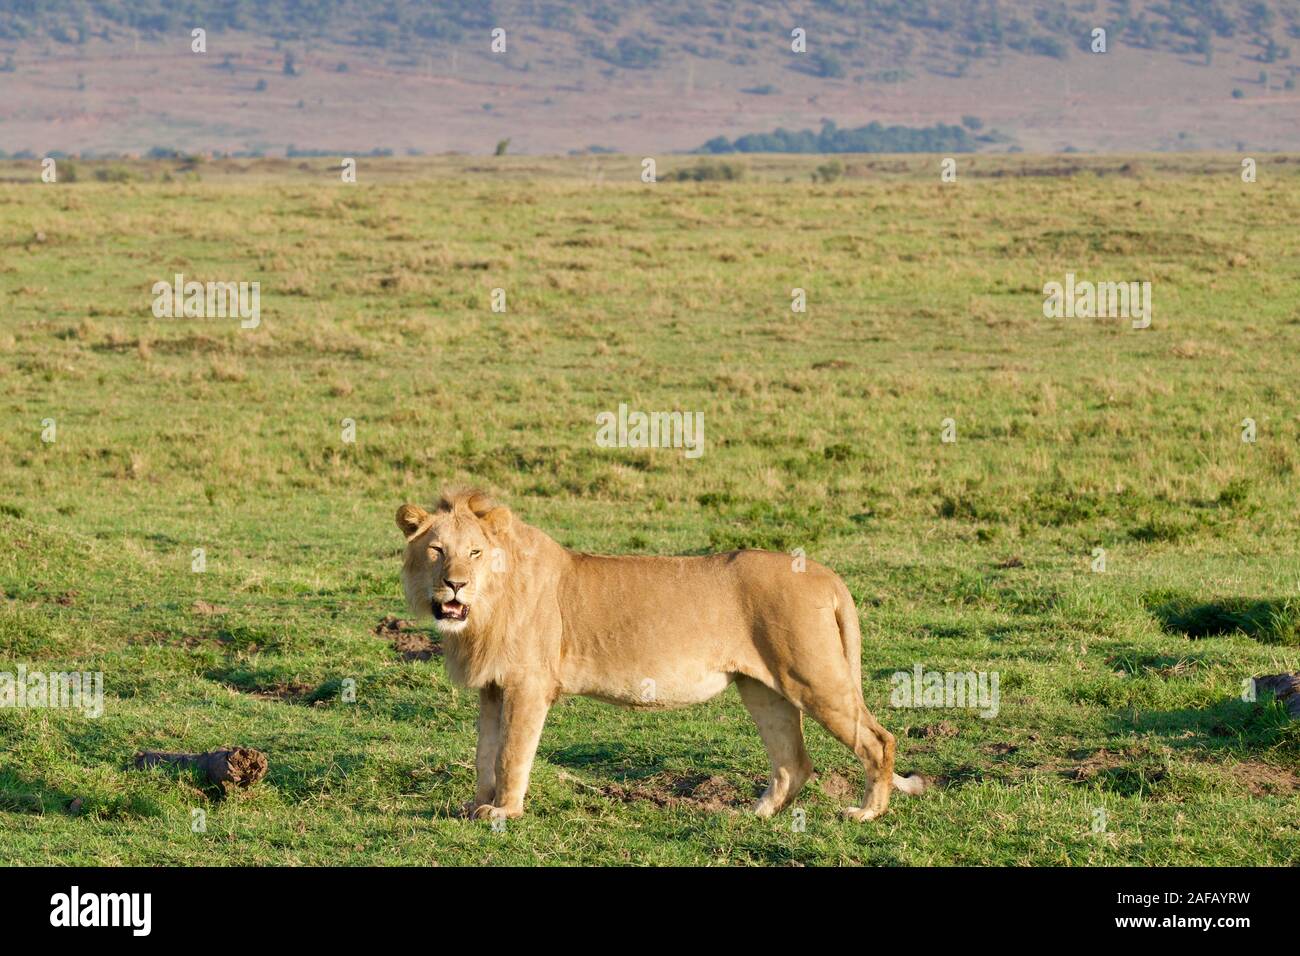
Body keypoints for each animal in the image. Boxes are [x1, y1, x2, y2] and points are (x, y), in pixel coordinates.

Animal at [392, 494, 925, 822]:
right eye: (437, 550)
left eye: (475, 553)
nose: (455, 584)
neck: (485, 609)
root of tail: (826, 574)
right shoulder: (492, 687)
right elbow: (485, 752)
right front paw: (476, 805)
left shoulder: (528, 685)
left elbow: (511, 753)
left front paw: (504, 812)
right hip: (764, 688)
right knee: (794, 761)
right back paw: (754, 814)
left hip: (813, 676)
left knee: (878, 740)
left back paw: (866, 812)